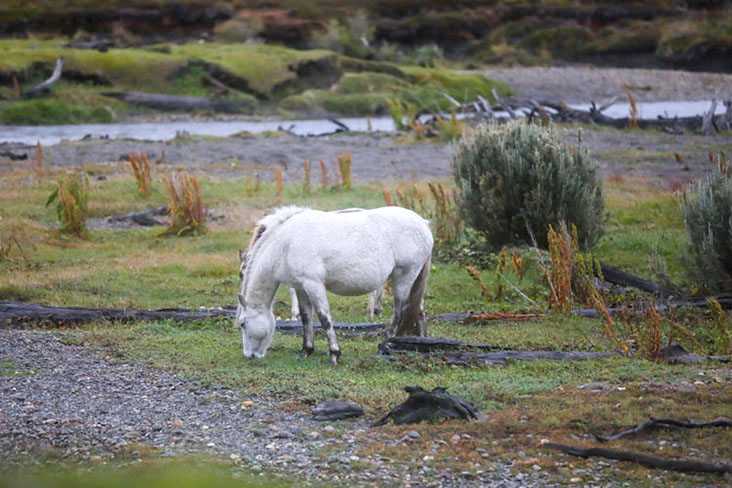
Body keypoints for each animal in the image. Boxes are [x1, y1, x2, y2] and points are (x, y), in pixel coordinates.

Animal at [236, 206, 433, 365]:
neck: (285, 243)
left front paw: (334, 354)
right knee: (419, 310)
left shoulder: (313, 285)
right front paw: (306, 351)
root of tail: (423, 223)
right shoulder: (301, 287)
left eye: (243, 324)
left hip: (404, 277)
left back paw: (385, 344)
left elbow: (324, 318)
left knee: (400, 312)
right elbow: (306, 318)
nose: (249, 355)